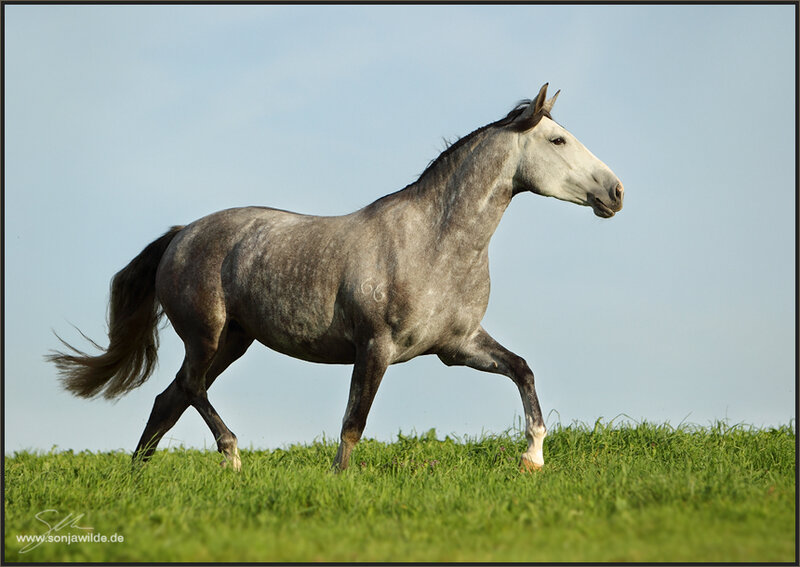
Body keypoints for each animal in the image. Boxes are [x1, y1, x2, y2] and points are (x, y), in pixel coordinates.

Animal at [48, 83, 623, 472]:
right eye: (558, 140)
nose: (615, 192)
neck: (435, 243)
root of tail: (180, 235)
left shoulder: (457, 346)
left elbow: (522, 370)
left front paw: (533, 458)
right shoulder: (375, 347)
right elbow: (352, 425)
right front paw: (339, 483)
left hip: (233, 342)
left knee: (170, 399)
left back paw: (138, 477)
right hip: (206, 336)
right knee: (188, 389)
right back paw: (232, 458)